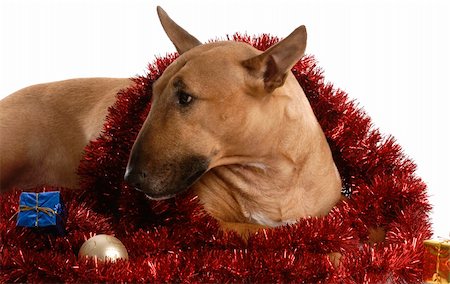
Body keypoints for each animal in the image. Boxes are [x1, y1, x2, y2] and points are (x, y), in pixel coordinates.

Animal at [0, 7, 342, 237]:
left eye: (185, 98)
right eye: (153, 94)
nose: (131, 180)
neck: (271, 176)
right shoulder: (213, 222)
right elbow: (262, 230)